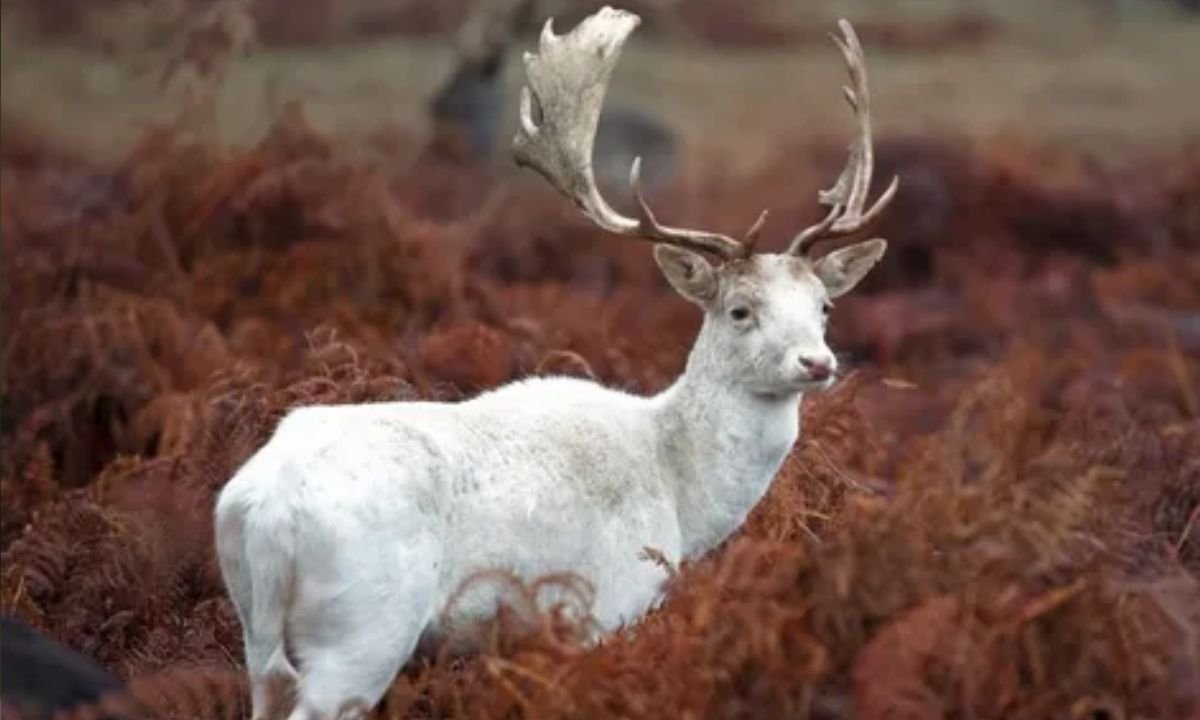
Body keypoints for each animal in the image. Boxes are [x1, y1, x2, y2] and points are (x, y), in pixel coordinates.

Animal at [213, 7, 902, 720]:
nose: (816, 362)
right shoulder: (606, 603)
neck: (680, 498)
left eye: (823, 305)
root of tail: (261, 509)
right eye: (739, 309)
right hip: (362, 628)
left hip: (258, 634)